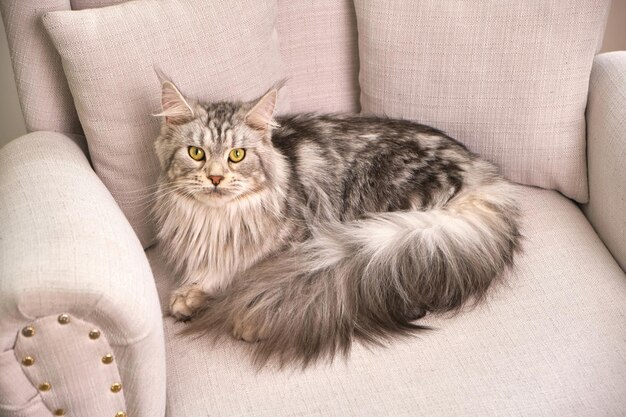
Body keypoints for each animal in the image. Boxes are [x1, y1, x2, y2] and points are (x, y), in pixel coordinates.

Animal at [152, 80, 520, 364]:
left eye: (237, 155)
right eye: (196, 153)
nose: (215, 178)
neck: (219, 220)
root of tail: (479, 171)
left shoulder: (301, 241)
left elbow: (258, 277)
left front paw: (246, 309)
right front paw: (192, 293)